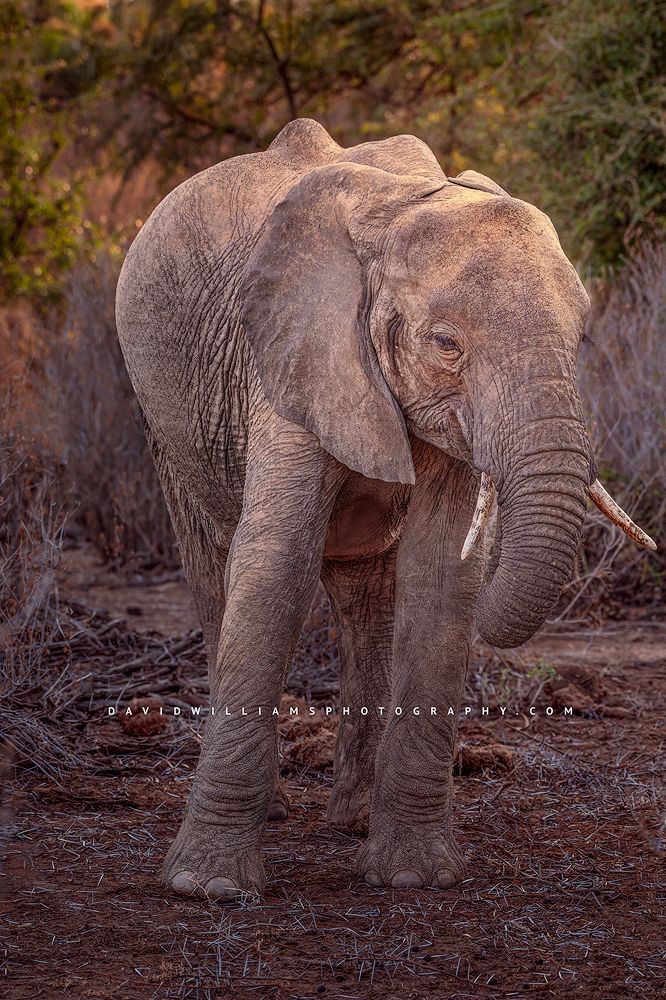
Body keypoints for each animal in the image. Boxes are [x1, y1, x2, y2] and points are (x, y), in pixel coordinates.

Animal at [115, 117, 655, 901]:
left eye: (582, 336)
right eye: (445, 343)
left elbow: (440, 575)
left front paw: (414, 878)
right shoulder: (292, 357)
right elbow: (275, 564)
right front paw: (207, 887)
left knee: (367, 593)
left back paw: (352, 821)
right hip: (164, 420)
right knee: (212, 565)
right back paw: (280, 813)